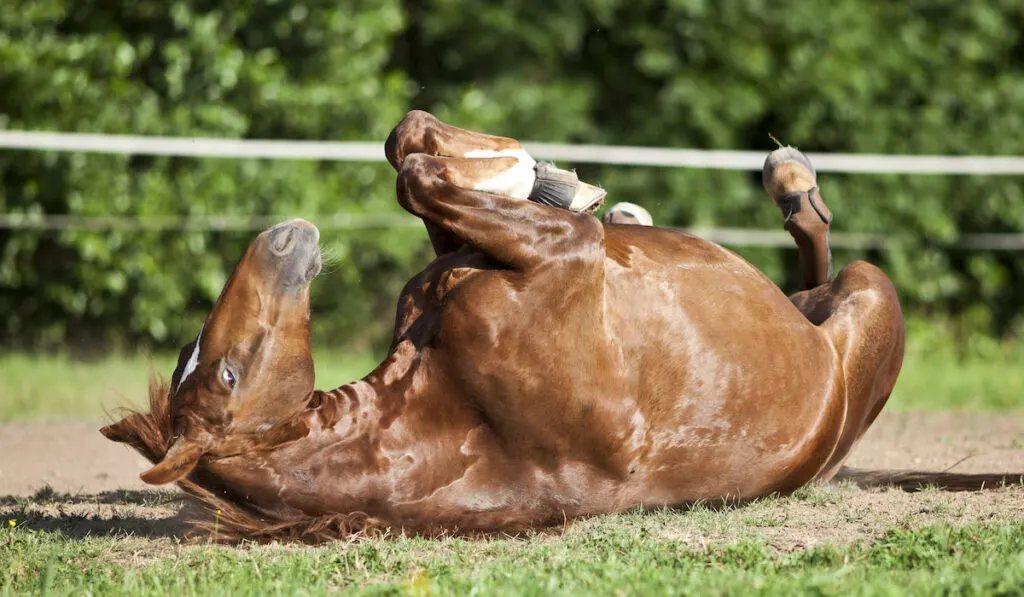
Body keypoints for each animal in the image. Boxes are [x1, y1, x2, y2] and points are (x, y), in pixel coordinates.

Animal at [103, 111, 1024, 540]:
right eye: (224, 372)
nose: (284, 238)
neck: (446, 414)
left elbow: (410, 154)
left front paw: (546, 174)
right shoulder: (563, 256)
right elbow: (419, 174)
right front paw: (546, 178)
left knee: (809, 272)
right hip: (870, 298)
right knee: (826, 261)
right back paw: (788, 180)